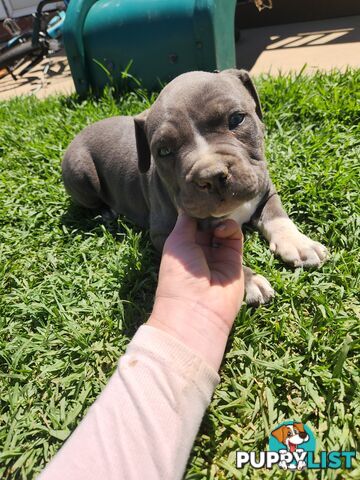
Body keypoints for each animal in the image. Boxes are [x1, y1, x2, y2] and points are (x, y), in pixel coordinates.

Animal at [63, 68, 328, 304]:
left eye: (236, 119)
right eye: (164, 151)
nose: (210, 176)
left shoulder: (265, 187)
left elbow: (277, 215)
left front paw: (300, 244)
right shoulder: (163, 234)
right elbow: (212, 258)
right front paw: (250, 280)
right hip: (80, 172)